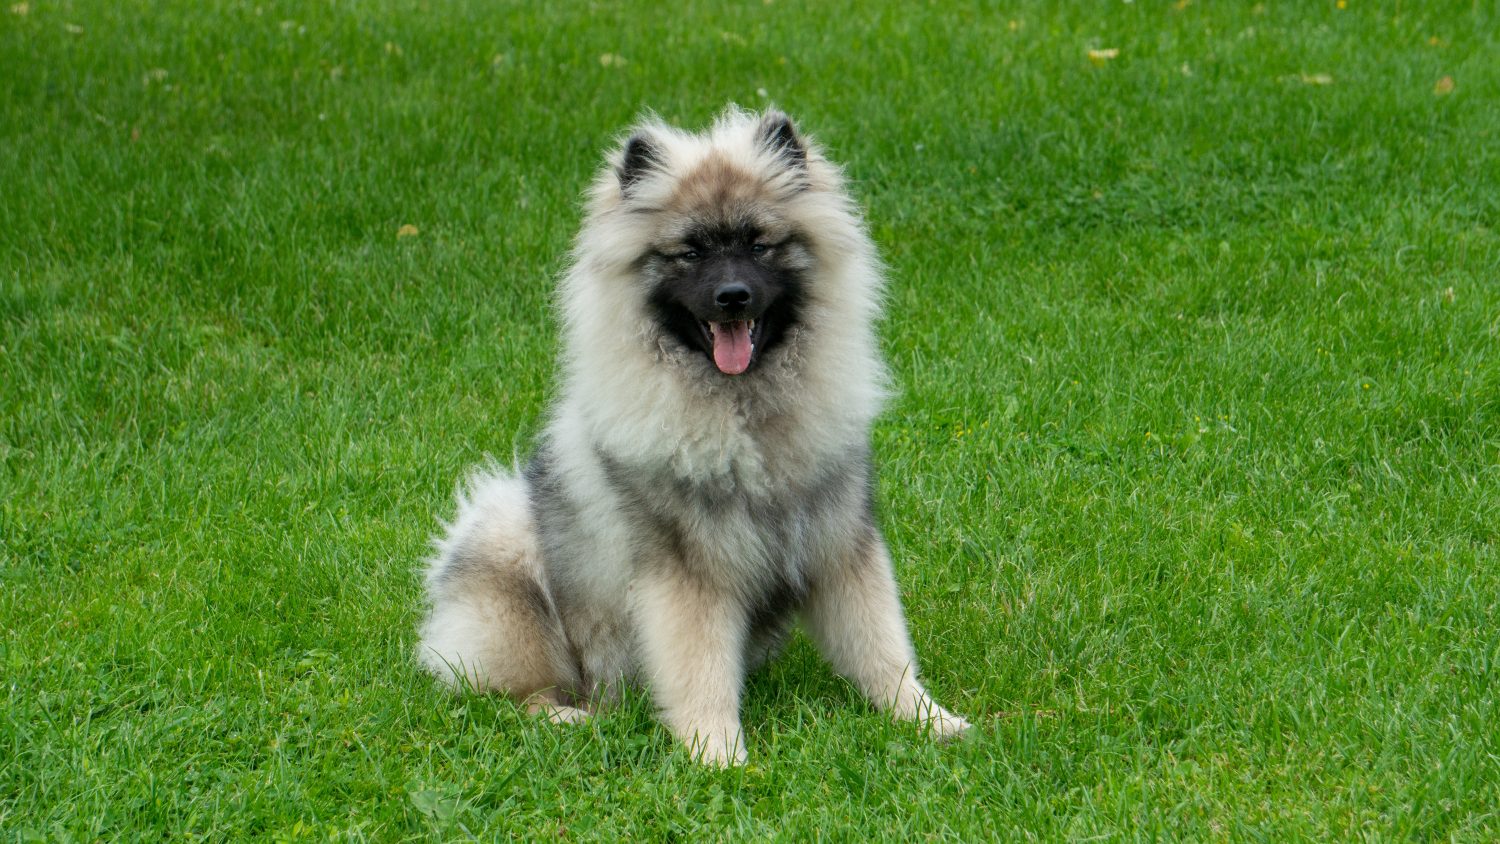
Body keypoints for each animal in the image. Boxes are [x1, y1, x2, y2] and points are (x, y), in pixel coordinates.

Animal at [417, 107, 966, 767]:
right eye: (690, 252)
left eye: (758, 244)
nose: (733, 297)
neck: (744, 414)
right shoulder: (688, 573)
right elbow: (700, 668)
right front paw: (717, 753)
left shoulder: (840, 543)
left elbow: (882, 648)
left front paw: (927, 720)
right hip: (510, 563)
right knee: (515, 695)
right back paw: (571, 718)